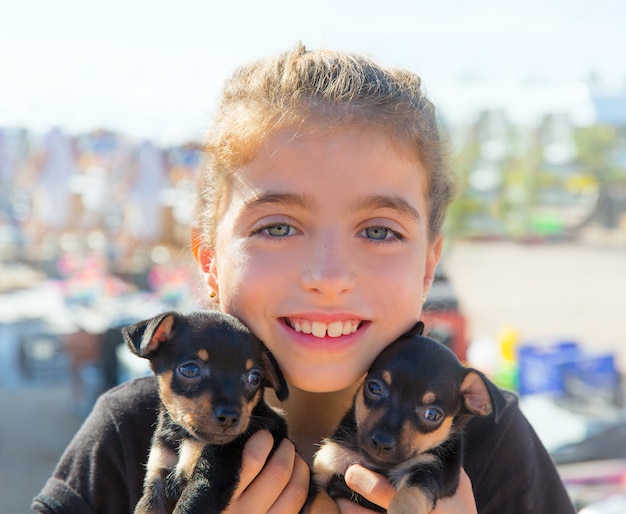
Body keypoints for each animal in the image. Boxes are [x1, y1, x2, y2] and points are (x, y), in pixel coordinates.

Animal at [123, 308, 292, 512]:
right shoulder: (157, 478)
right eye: (190, 370)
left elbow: (185, 507)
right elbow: (146, 507)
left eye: (254, 378)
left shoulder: (212, 477)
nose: (229, 416)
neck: (186, 438)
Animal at [310, 322, 504, 510]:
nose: (382, 441)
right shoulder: (325, 467)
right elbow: (321, 503)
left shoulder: (429, 470)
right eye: (374, 388)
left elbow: (409, 495)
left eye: (432, 414)